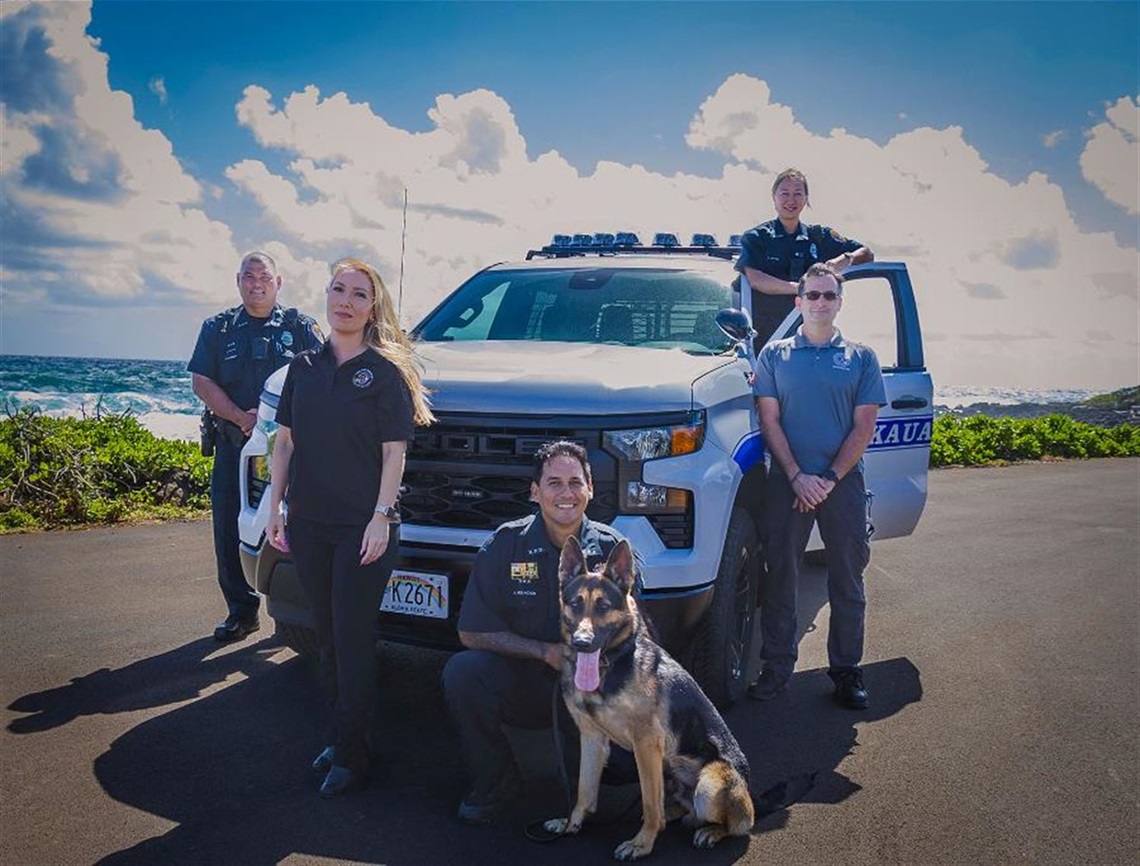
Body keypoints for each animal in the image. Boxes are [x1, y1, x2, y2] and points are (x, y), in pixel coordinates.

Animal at [544, 537, 756, 856]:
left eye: (603, 606)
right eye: (575, 603)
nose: (581, 643)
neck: (610, 666)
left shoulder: (645, 742)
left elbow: (648, 800)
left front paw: (642, 844)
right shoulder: (592, 737)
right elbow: (584, 789)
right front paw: (571, 824)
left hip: (709, 784)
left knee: (733, 825)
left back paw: (710, 831)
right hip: (668, 769)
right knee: (680, 809)